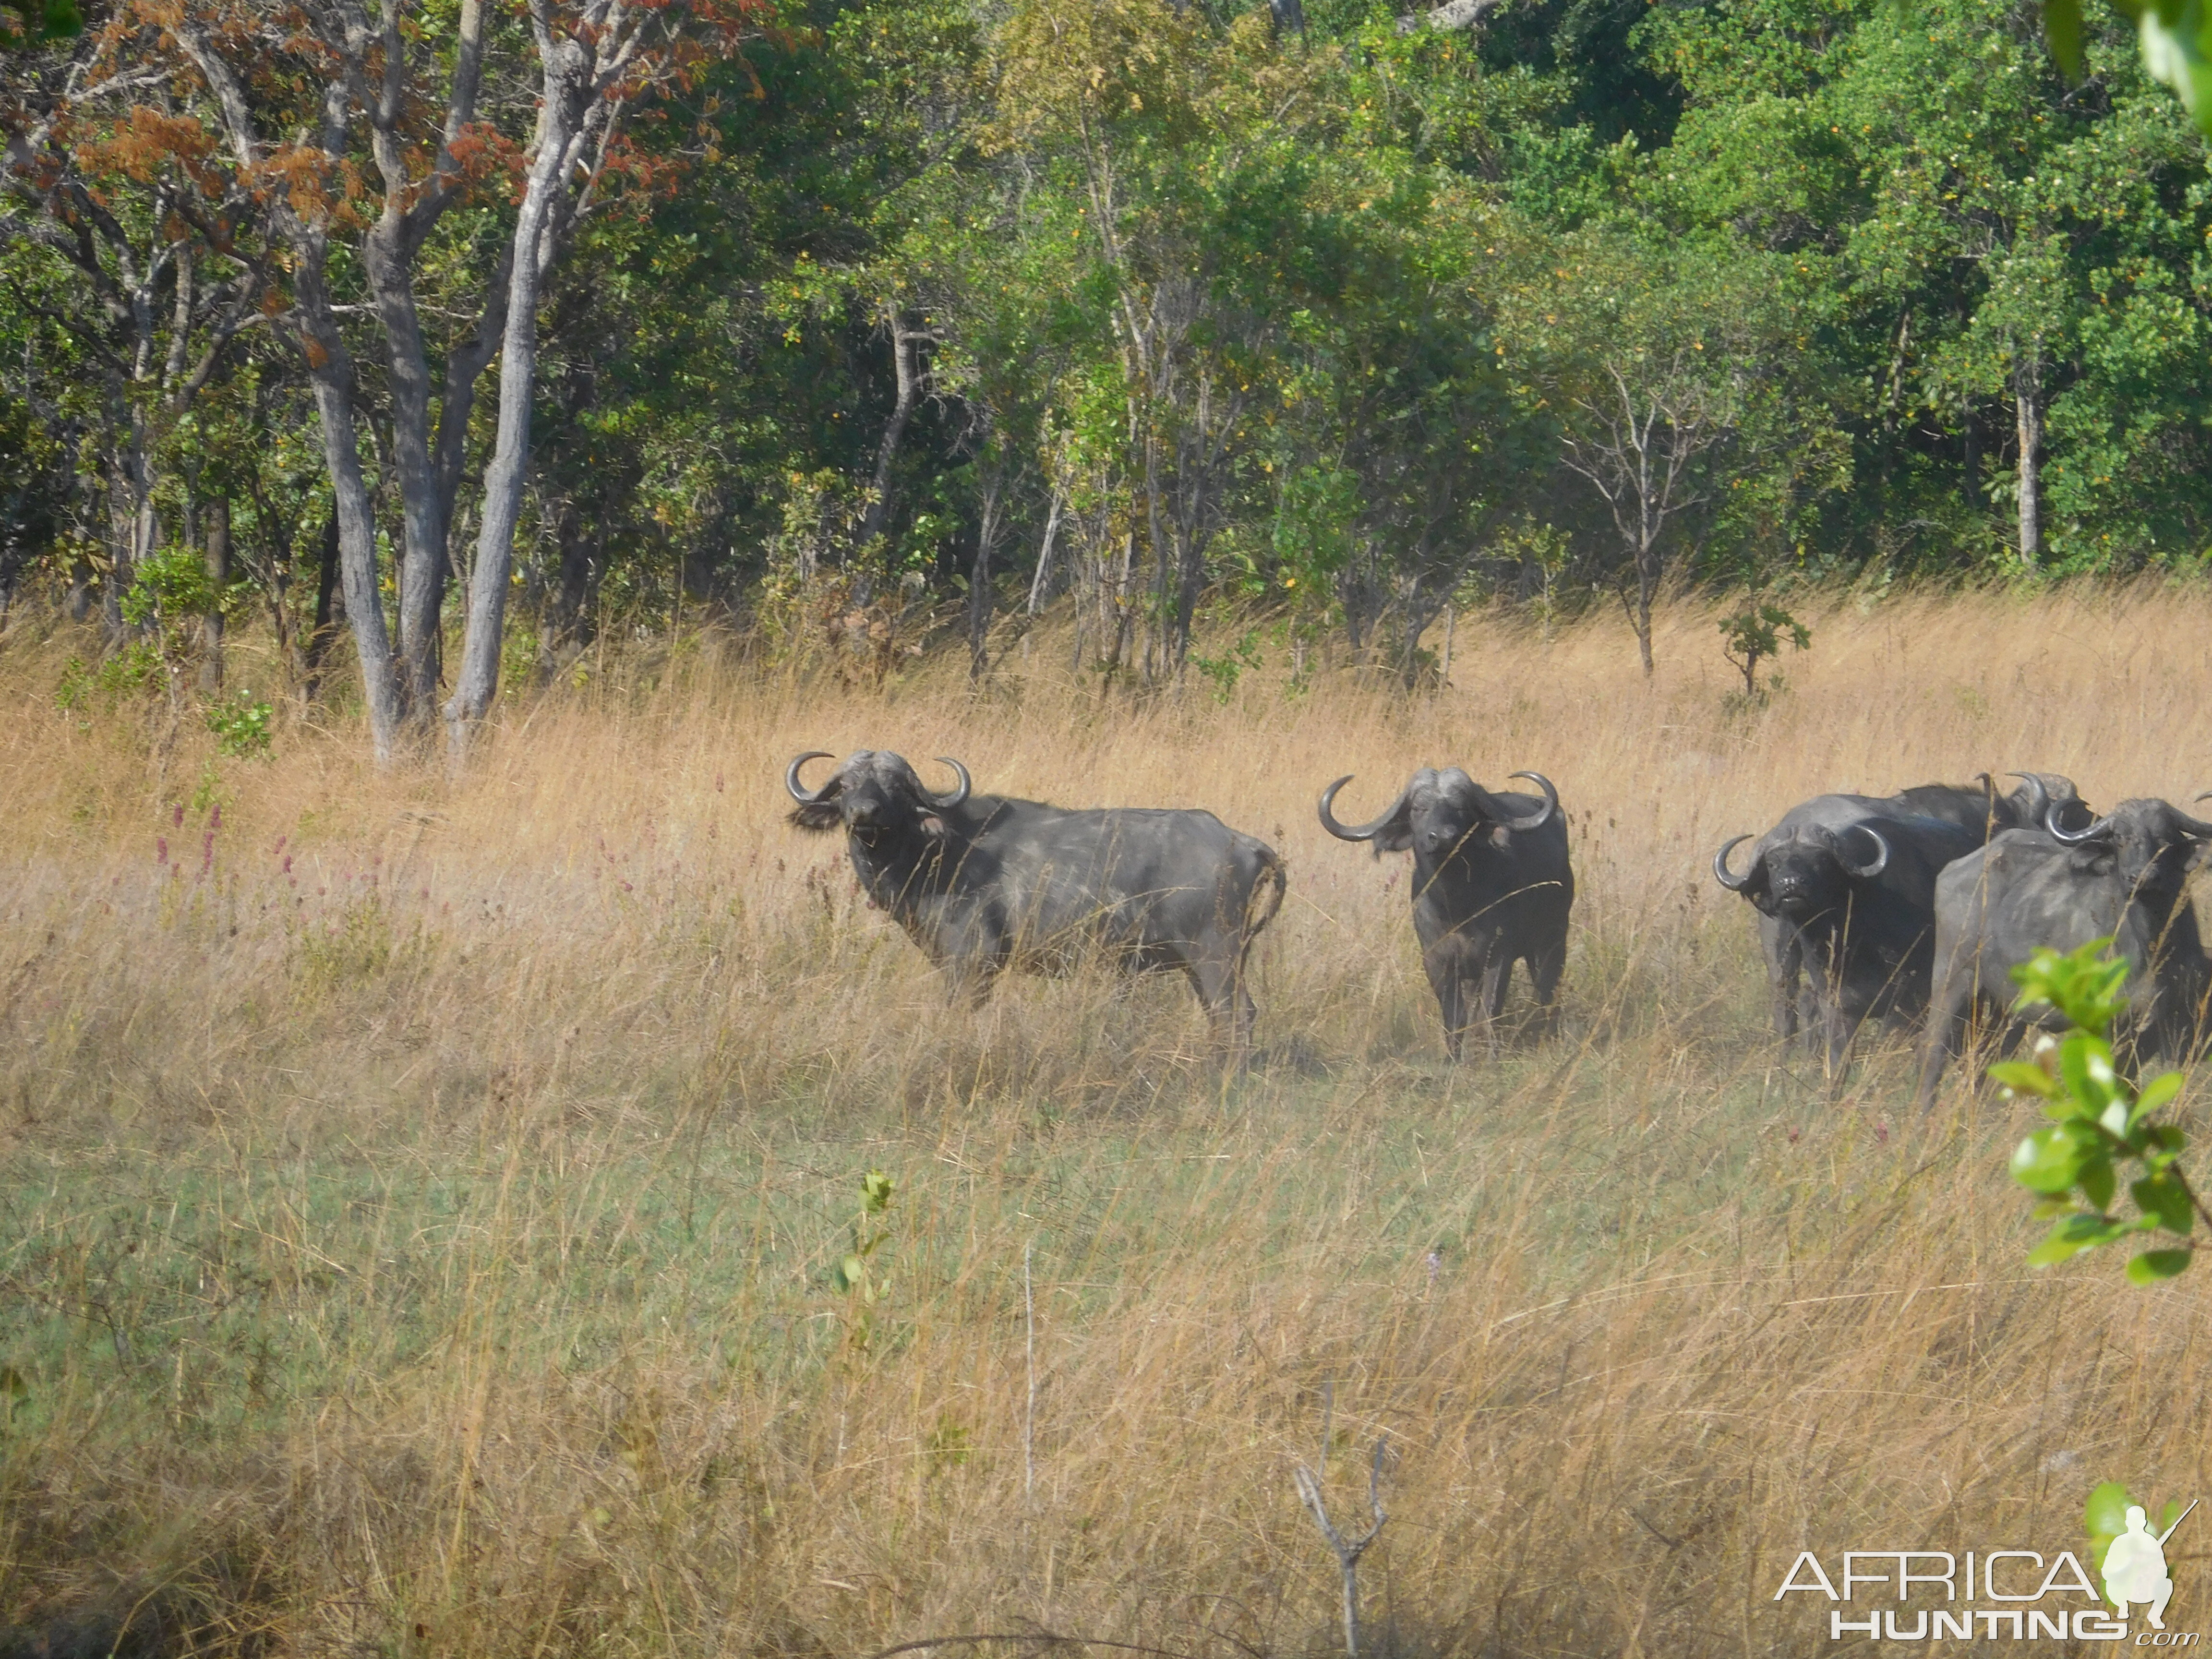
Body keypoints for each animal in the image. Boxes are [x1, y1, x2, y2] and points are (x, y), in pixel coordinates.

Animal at [787, 756, 1292, 1053]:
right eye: (847, 786)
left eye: (893, 786)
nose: (864, 814)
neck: (937, 852)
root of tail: (1240, 841)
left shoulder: (973, 962)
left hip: (1216, 956)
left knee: (1237, 1015)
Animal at [1309, 769, 1575, 1057]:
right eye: (1418, 808)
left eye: (1462, 808)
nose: (1444, 837)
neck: (1456, 908)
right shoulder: (1437, 961)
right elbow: (1455, 1017)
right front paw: (1454, 1058)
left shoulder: (1498, 956)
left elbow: (1490, 1012)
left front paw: (1492, 1056)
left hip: (1553, 939)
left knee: (1547, 988)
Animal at [1911, 801, 2203, 1110]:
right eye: (2119, 837)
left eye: (2165, 838)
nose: (2142, 877)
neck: (2148, 944)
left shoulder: (2156, 1030)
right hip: (1954, 976)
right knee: (1934, 1047)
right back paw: (1924, 1112)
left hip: (2009, 1005)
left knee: (1990, 1055)